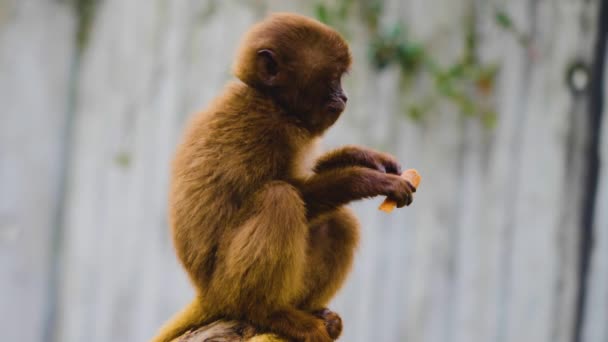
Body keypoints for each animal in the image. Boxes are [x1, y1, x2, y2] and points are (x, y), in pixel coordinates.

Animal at [152, 12, 416, 342]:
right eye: (333, 78)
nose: (344, 96)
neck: (271, 101)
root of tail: (206, 293)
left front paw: (365, 157)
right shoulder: (263, 129)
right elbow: (297, 192)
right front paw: (365, 180)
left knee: (337, 221)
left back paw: (309, 312)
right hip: (227, 285)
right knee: (279, 198)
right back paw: (269, 313)